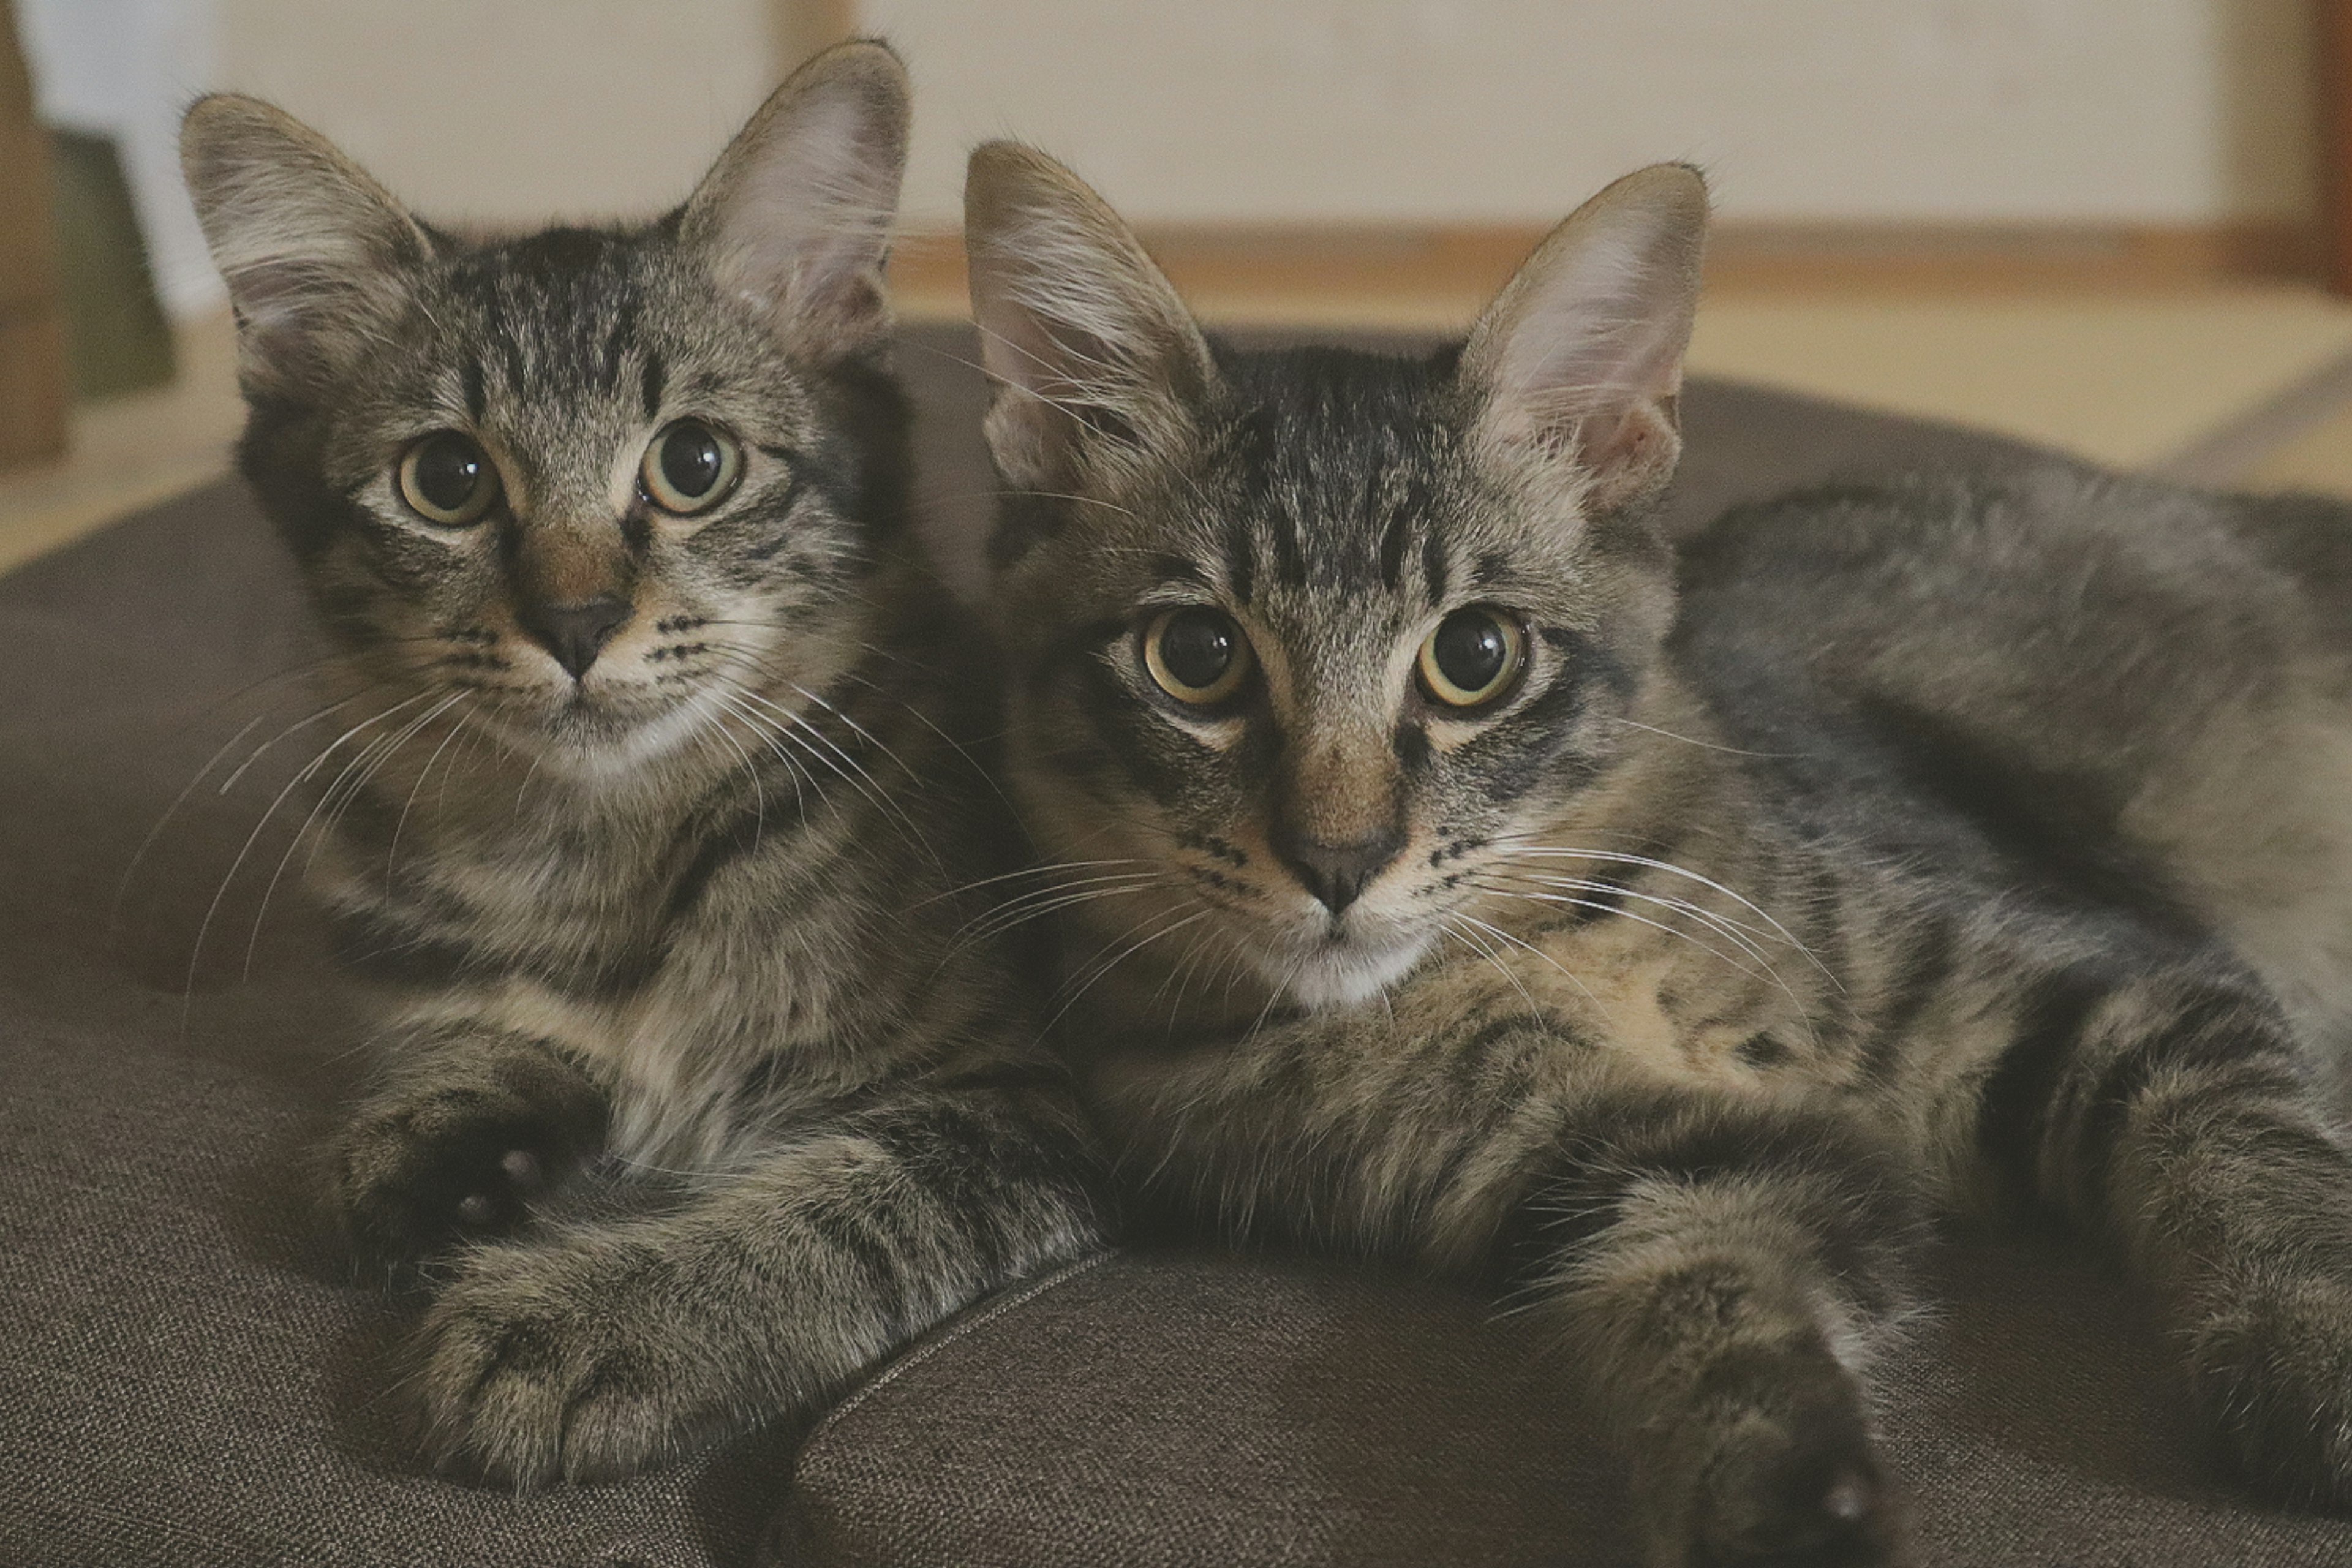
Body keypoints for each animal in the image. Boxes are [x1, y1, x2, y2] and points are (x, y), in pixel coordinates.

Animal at [178, 46, 1105, 1495]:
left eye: (696, 464)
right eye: (446, 479)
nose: (574, 622)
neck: (606, 848)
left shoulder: (1022, 1103)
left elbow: (835, 1217)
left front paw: (587, 1326)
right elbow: (470, 1044)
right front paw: (432, 1148)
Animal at [964, 141, 2352, 1561]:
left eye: (1474, 656)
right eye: (1197, 657)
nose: (1338, 860)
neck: (1560, 949)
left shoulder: (2126, 985)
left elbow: (2259, 1167)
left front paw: (2315, 1364)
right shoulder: (1644, 1166)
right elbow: (1715, 1340)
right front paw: (1786, 1519)